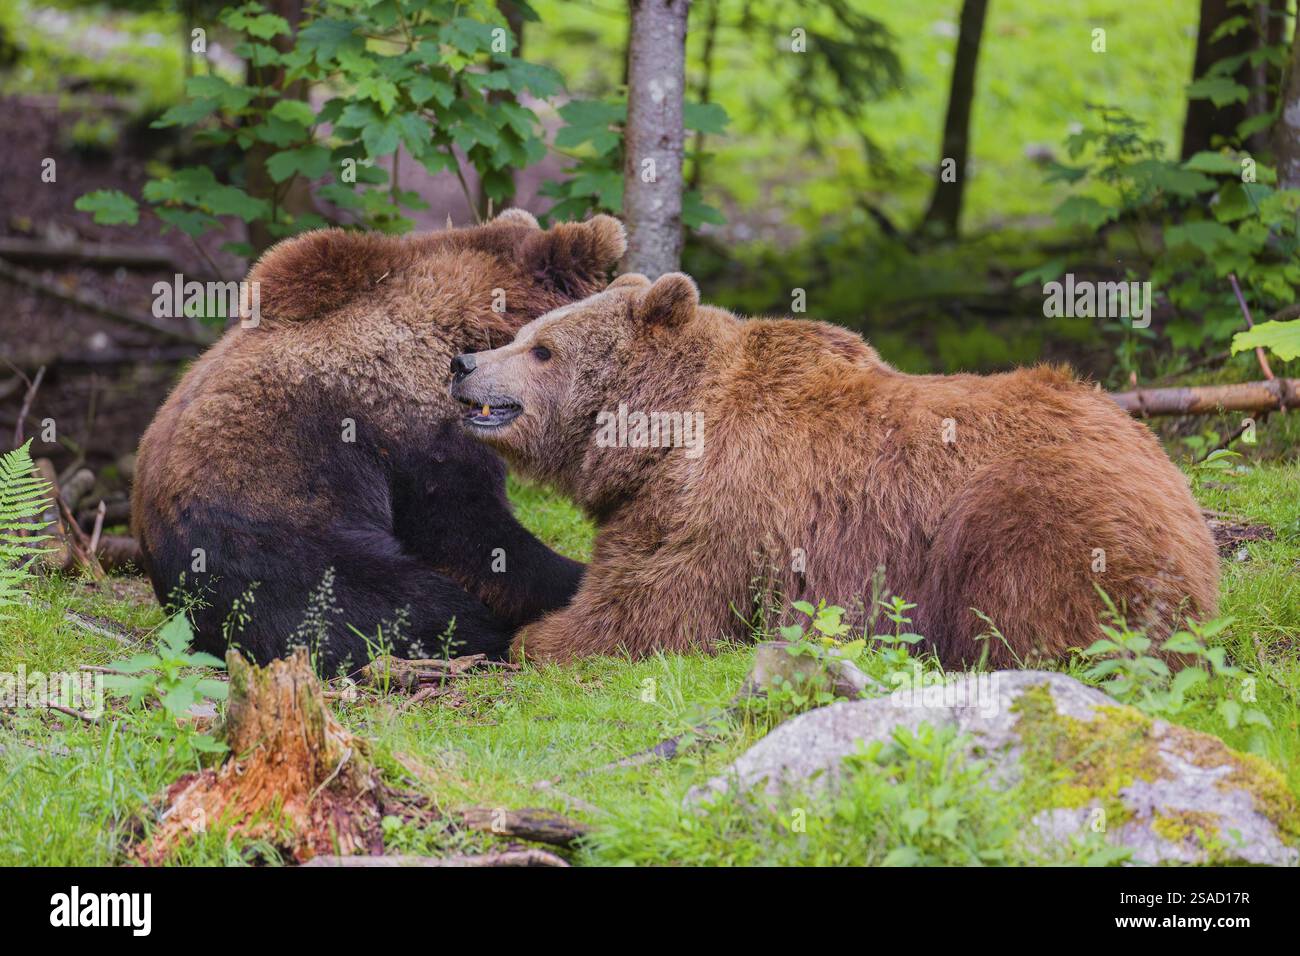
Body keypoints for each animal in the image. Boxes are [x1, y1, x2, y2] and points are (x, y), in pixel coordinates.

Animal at [448, 271, 1221, 668]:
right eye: (523, 333)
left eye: (542, 349)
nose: (464, 363)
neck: (661, 429)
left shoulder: (721, 504)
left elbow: (652, 603)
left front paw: (536, 638)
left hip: (1043, 505)